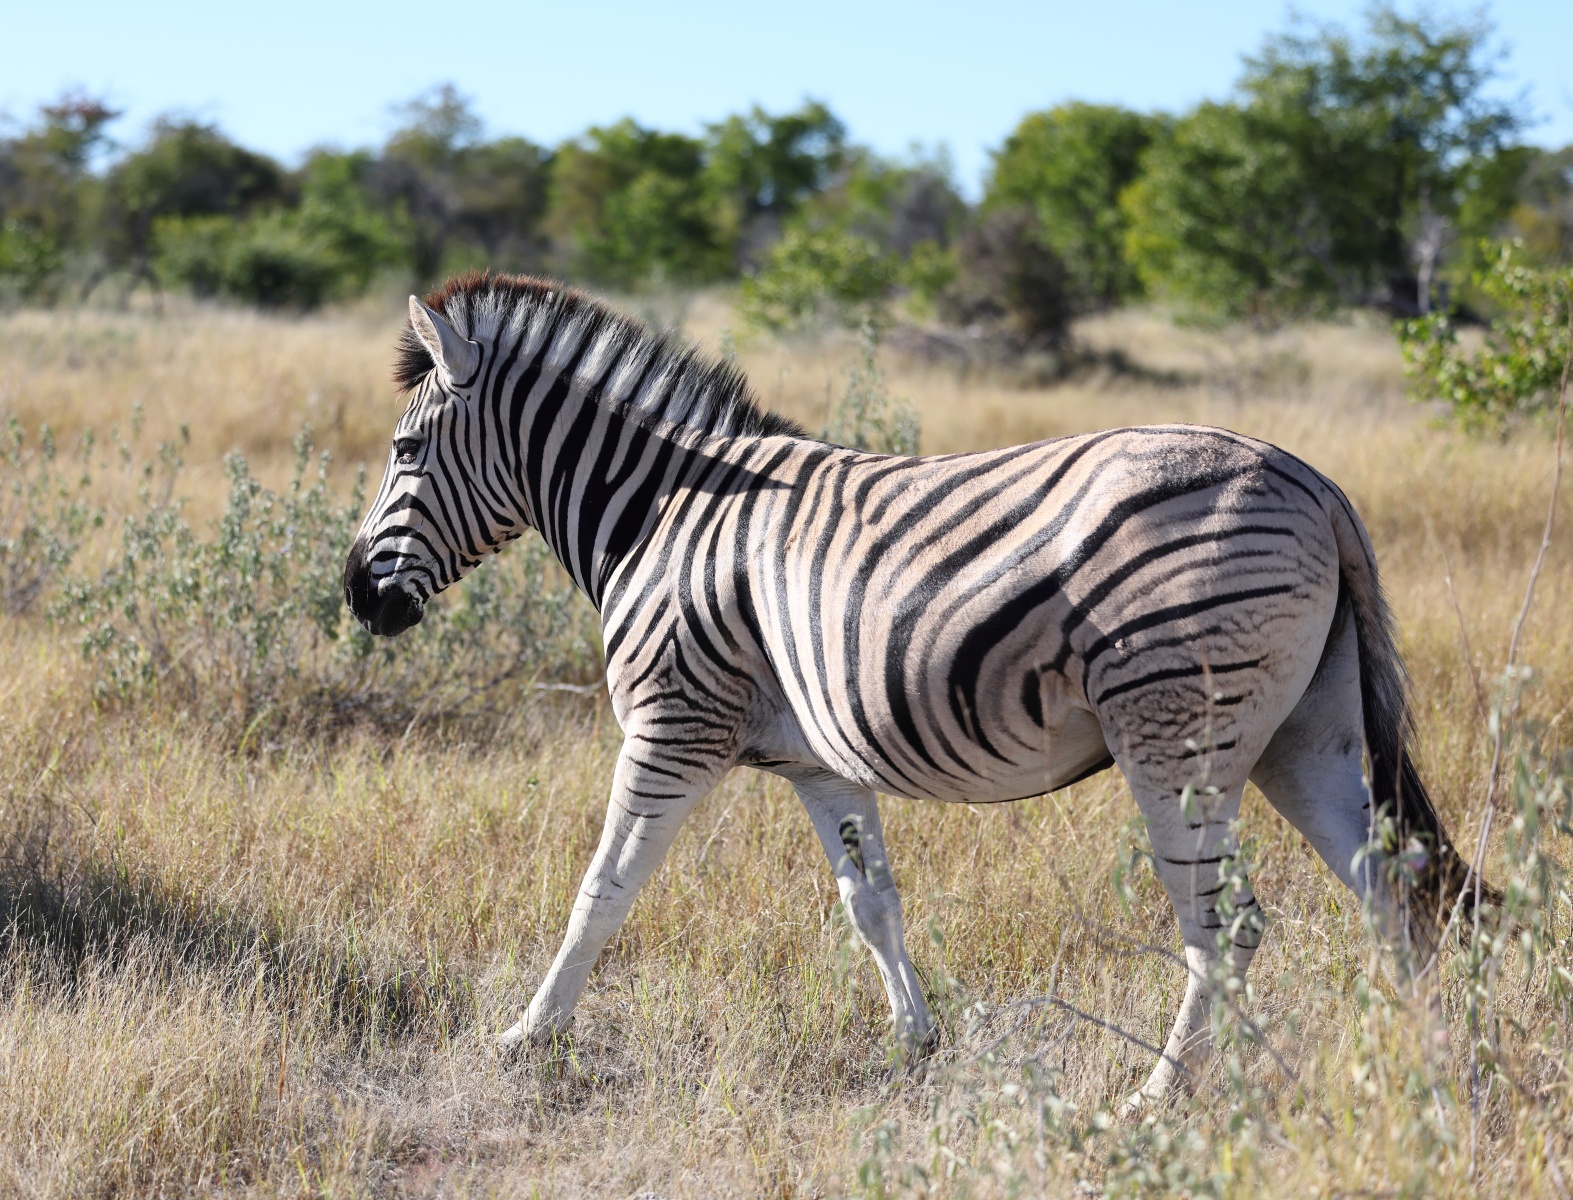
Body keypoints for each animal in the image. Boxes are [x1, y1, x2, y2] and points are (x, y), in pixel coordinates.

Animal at [342, 272, 1492, 1108]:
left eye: (403, 448)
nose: (356, 597)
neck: (659, 515)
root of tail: (1313, 482)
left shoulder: (673, 722)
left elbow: (603, 888)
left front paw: (526, 1036)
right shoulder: (817, 760)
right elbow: (872, 903)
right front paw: (915, 1041)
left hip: (1177, 734)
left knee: (1228, 923)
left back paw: (1163, 1097)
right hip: (1306, 734)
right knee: (1392, 889)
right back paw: (1425, 1077)